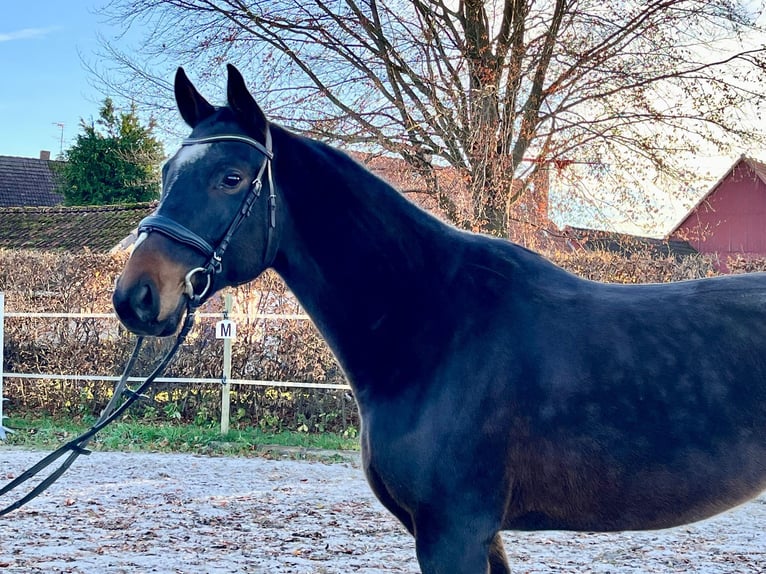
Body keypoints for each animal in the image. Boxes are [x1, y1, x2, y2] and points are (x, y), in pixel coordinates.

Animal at [111, 65, 766, 572]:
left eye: (231, 177)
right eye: (166, 174)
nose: (136, 296)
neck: (434, 327)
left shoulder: (454, 533)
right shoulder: (478, 536)